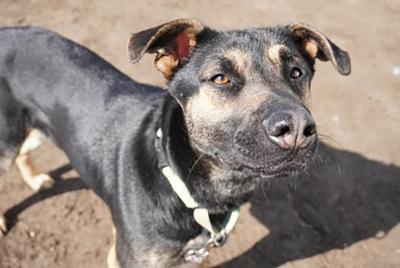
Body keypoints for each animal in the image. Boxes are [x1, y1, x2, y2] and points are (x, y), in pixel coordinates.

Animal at [0, 18, 350, 266]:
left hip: (36, 128)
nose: (297, 128)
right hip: (6, 139)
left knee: (24, 152)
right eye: (220, 78)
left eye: (296, 72)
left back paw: (35, 179)